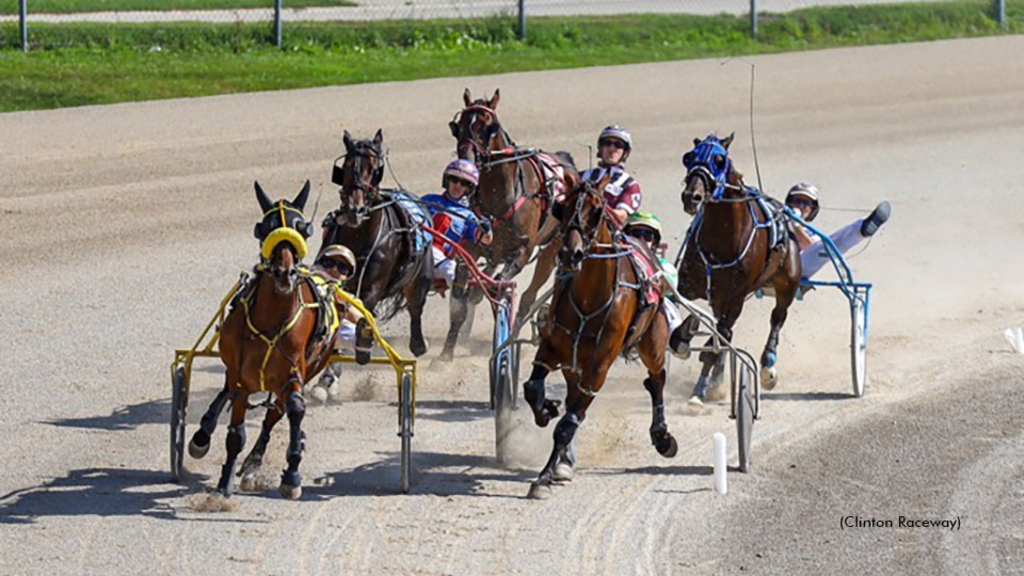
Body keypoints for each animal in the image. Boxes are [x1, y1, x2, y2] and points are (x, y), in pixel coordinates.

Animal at [188, 180, 335, 498]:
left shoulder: (294, 372)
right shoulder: (241, 374)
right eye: (264, 228)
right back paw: (203, 434)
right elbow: (235, 431)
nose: (284, 273)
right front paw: (224, 484)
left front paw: (292, 474)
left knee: (274, 414)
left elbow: (294, 408)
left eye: (303, 229)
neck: (271, 320)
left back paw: (255, 462)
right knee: (226, 393)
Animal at [444, 87, 581, 356]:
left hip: (552, 248)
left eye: (490, 127)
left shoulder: (522, 251)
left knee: (528, 296)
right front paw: (446, 354)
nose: (467, 160)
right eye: (458, 126)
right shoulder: (472, 249)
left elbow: (499, 286)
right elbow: (460, 302)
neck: (500, 196)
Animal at [524, 179, 675, 498]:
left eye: (596, 211)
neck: (589, 297)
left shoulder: (599, 365)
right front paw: (546, 409)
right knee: (572, 394)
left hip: (653, 341)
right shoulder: (553, 346)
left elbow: (567, 424)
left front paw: (543, 477)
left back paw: (662, 435)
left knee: (657, 379)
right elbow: (532, 388)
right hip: (573, 361)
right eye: (562, 206)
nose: (570, 253)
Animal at [675, 133, 802, 399]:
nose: (692, 197)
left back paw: (766, 367)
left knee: (777, 317)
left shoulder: (736, 295)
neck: (722, 238)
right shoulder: (689, 284)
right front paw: (682, 336)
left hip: (787, 283)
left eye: (719, 160)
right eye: (689, 157)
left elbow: (719, 336)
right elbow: (684, 307)